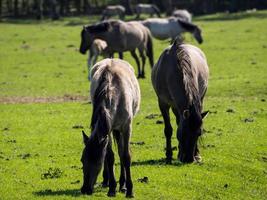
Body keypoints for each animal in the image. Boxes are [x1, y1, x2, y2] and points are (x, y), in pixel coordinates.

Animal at [80, 57, 141, 197]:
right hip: (114, 129)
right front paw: (112, 188)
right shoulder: (108, 129)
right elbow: (110, 157)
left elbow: (125, 156)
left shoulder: (126, 127)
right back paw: (106, 181)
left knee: (121, 152)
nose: (85, 189)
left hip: (119, 129)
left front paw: (129, 189)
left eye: (98, 162)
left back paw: (123, 185)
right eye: (82, 160)